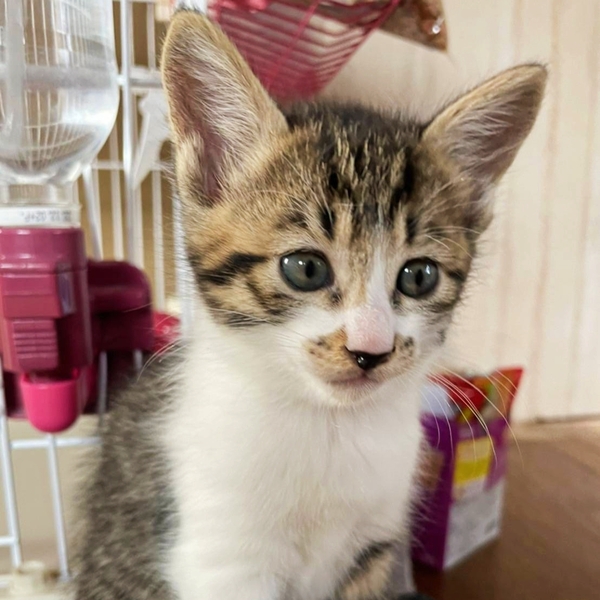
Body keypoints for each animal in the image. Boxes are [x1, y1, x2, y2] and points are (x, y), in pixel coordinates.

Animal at [72, 10, 546, 600]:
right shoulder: (224, 558)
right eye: (306, 268)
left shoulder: (375, 548)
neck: (327, 429)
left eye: (419, 276)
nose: (371, 350)